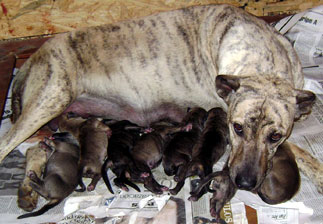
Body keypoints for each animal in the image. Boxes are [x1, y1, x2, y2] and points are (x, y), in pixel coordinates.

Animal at [0, 4, 322, 195]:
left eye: (275, 136)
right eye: (237, 128)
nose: (243, 183)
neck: (264, 63)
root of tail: (33, 58)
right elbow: (301, 152)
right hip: (50, 97)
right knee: (6, 142)